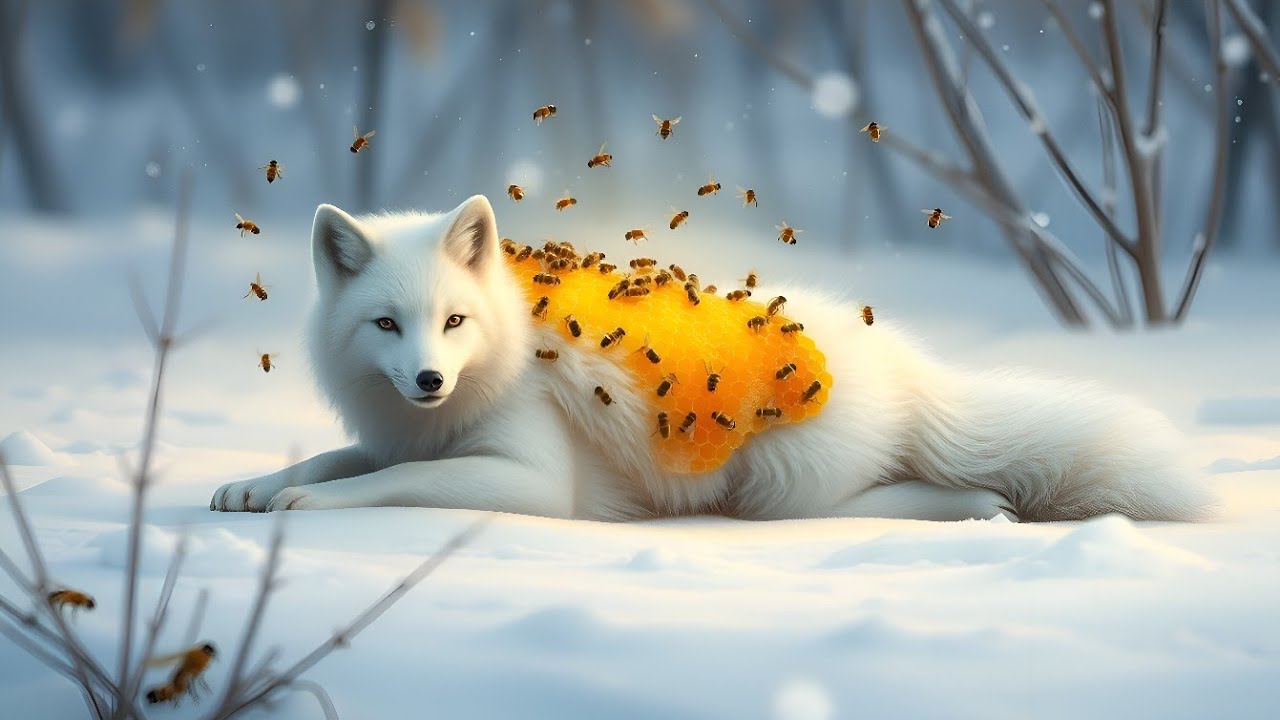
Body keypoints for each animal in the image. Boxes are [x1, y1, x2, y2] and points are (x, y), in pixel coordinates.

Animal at [210, 195, 1215, 523]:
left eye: (454, 321)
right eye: (387, 325)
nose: (427, 380)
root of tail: (903, 362)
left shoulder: (532, 481)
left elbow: (382, 484)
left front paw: (306, 506)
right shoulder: (394, 435)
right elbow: (334, 457)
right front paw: (253, 486)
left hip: (780, 487)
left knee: (887, 499)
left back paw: (979, 509)